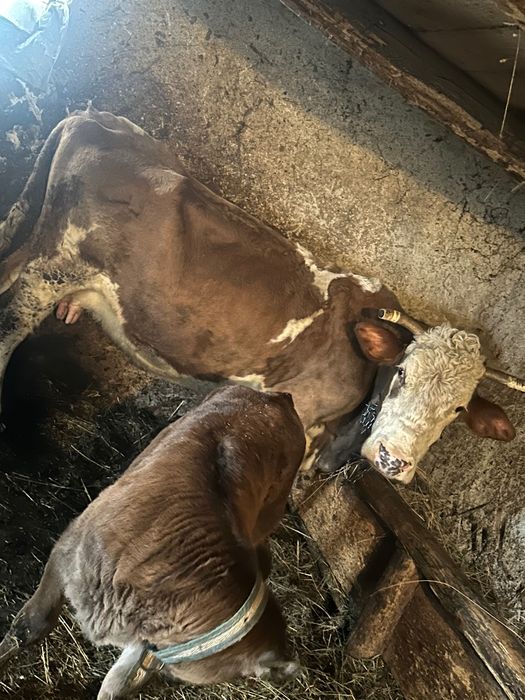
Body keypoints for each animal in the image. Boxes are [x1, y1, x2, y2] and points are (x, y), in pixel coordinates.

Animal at [0, 107, 522, 483]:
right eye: (402, 374)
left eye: (457, 410)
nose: (393, 460)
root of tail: (94, 117)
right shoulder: (298, 412)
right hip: (53, 269)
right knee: (10, 329)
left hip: (30, 236)